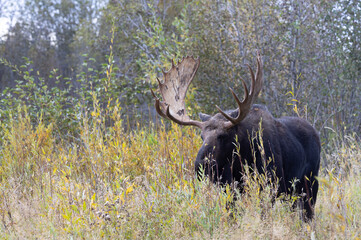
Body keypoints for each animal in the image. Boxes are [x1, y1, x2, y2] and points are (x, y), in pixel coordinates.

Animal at [150, 53, 320, 220]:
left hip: (310, 184)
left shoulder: (270, 185)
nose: (201, 165)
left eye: (223, 136)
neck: (242, 160)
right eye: (201, 136)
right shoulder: (229, 190)